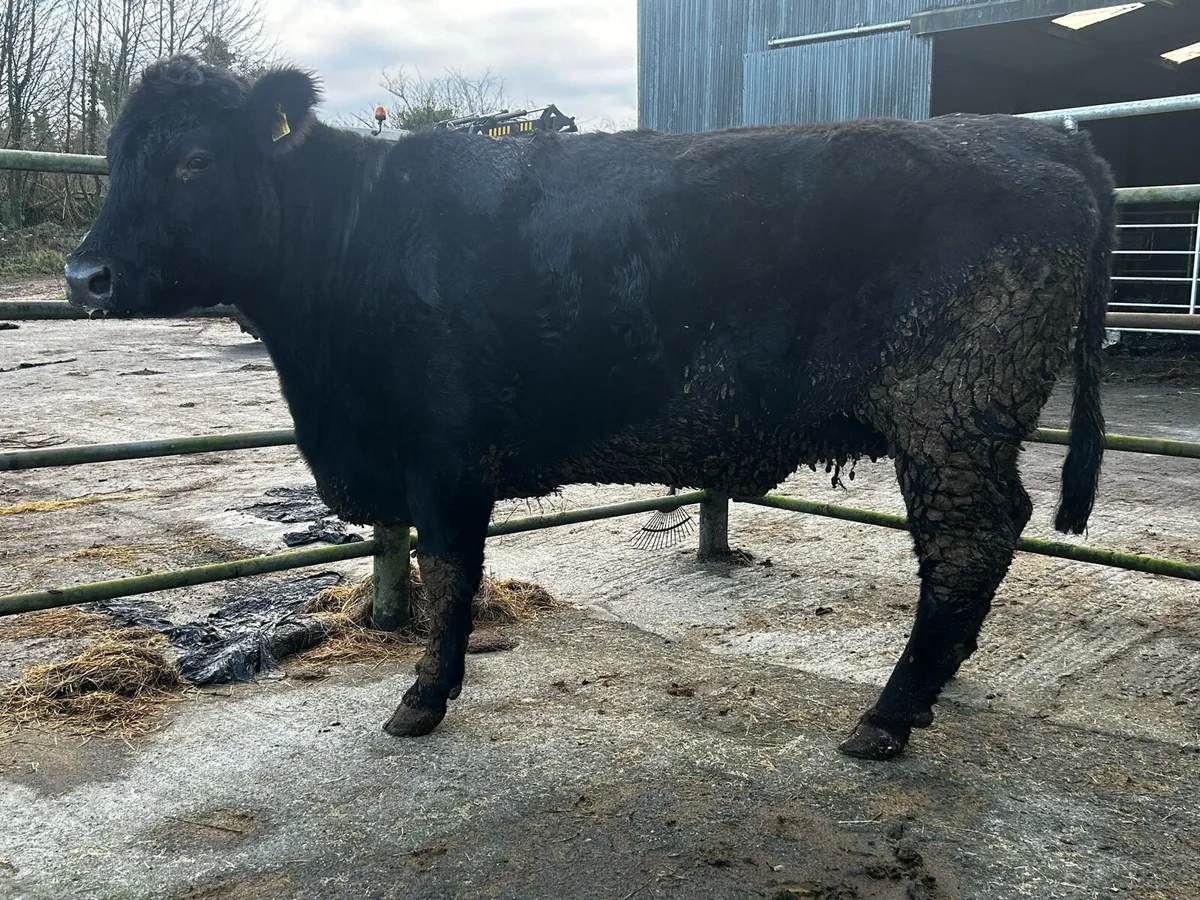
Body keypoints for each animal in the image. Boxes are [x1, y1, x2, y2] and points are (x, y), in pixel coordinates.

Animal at [64, 56, 1113, 760]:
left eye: (195, 161)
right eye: (115, 155)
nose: (84, 276)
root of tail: (1035, 133)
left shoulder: (444, 457)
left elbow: (451, 577)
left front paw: (423, 699)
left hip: (952, 409)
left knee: (969, 542)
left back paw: (887, 716)